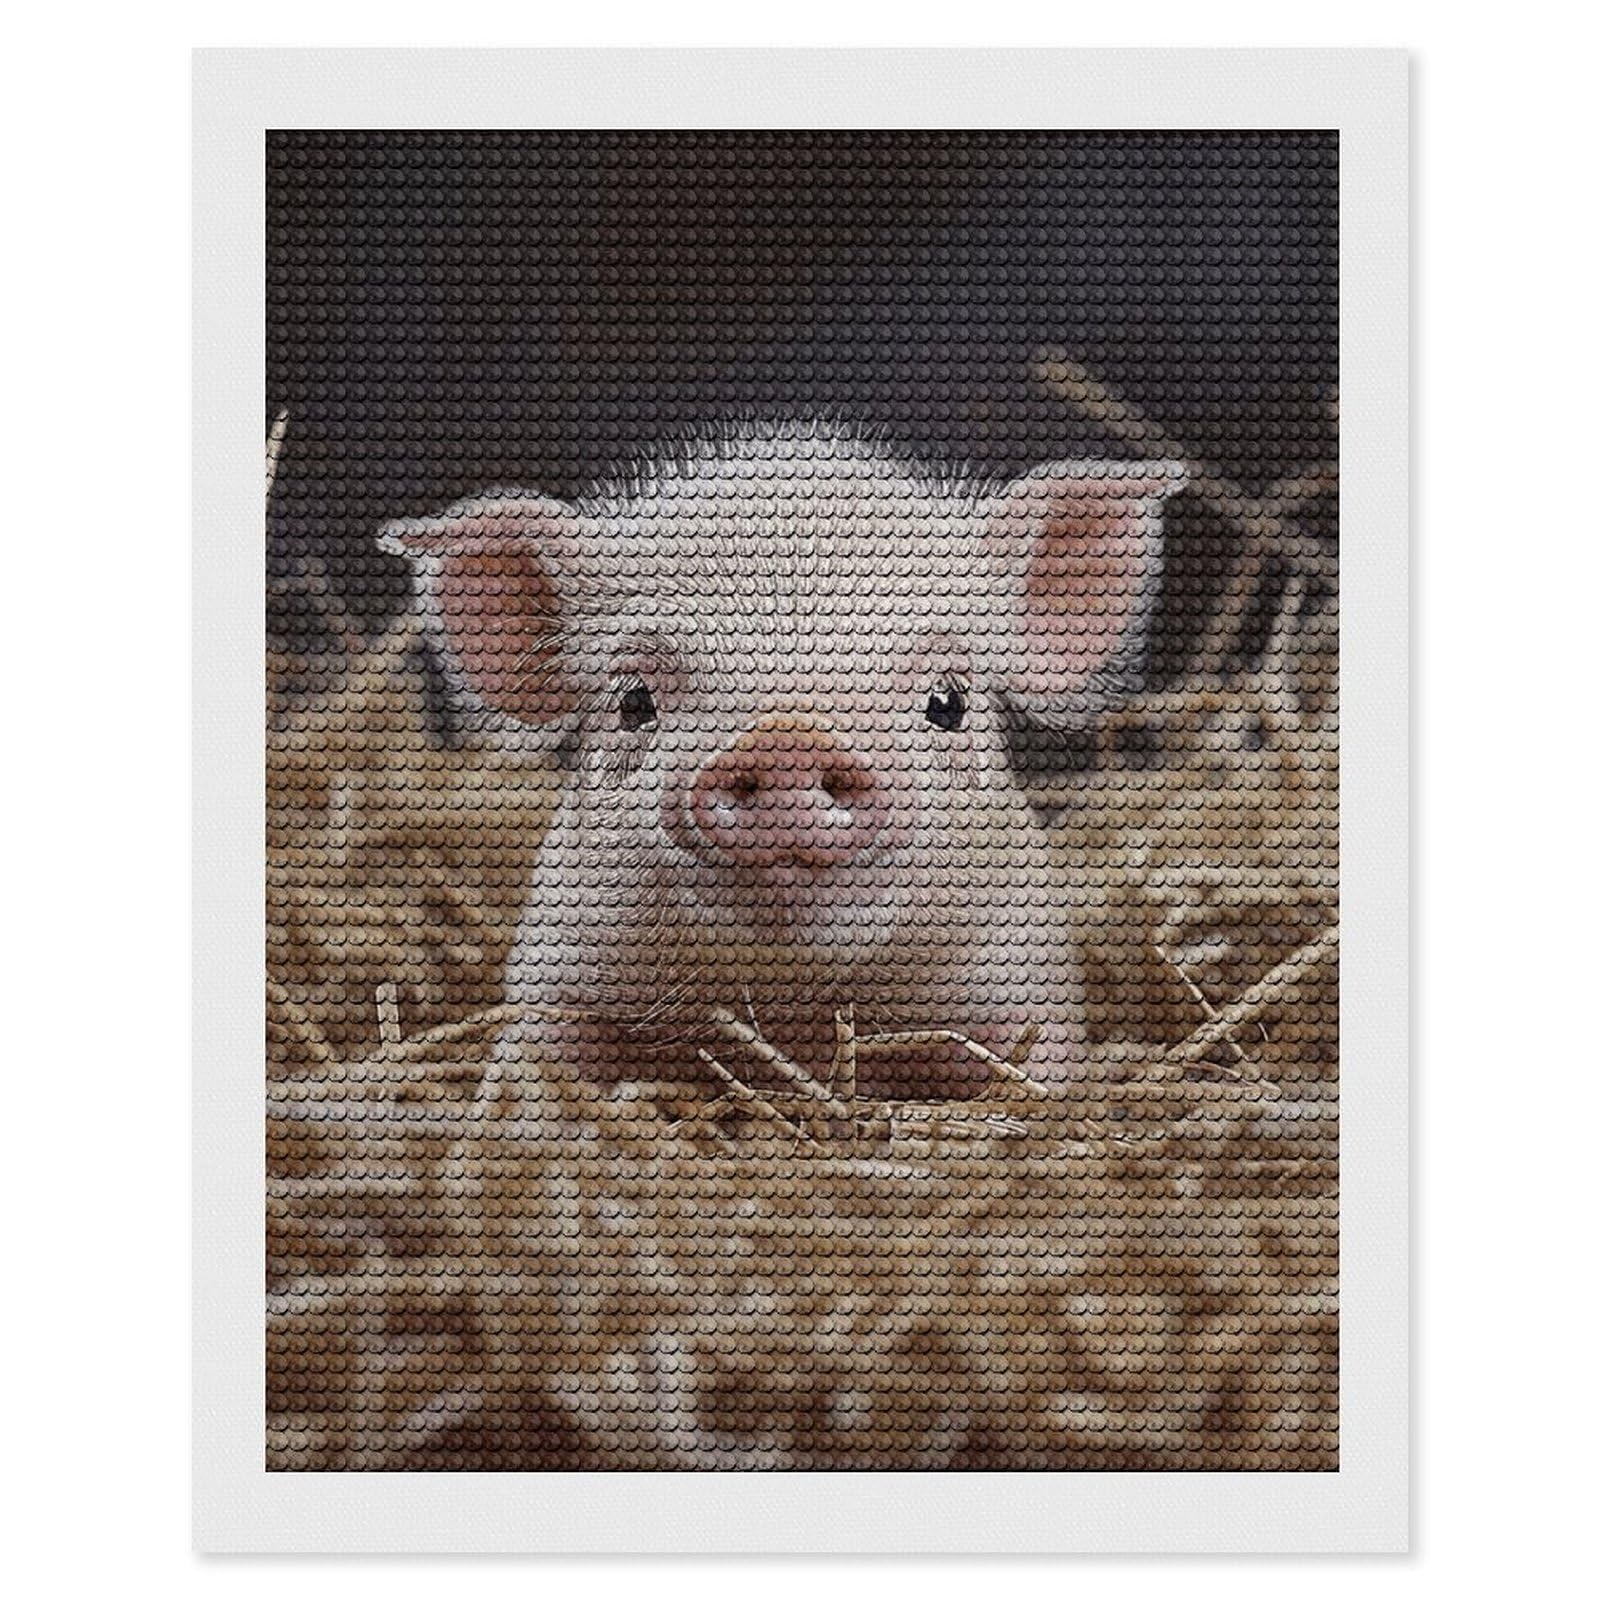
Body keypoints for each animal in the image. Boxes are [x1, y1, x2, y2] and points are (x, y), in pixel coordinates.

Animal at [382, 422, 1184, 1098]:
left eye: (948, 700)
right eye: (634, 699)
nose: (787, 740)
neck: (795, 1018)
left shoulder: (1028, 994)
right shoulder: (557, 979)